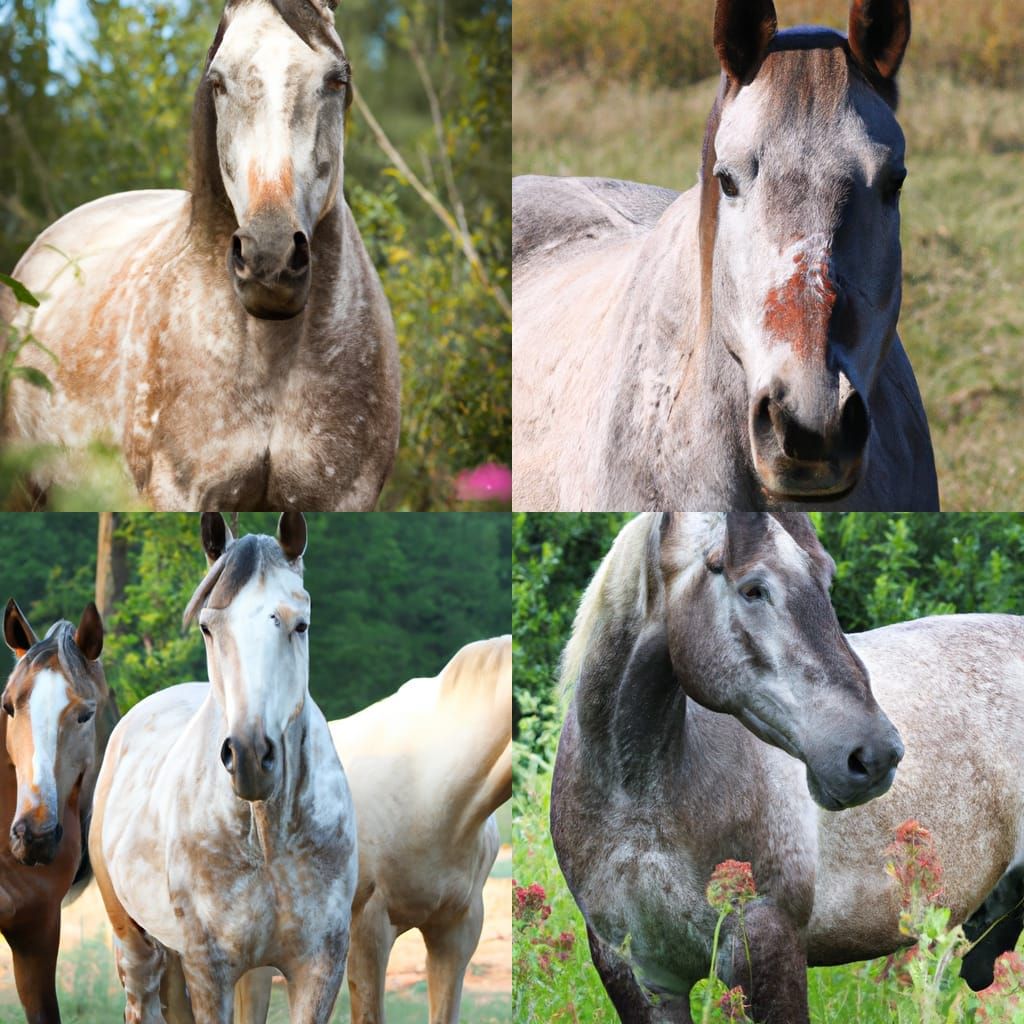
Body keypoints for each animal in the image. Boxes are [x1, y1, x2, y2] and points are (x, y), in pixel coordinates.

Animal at [89, 512, 358, 1023]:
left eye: (300, 625)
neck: (268, 841)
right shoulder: (208, 968)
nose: (251, 756)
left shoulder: (320, 965)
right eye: (208, 628)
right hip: (136, 946)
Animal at [550, 512, 1024, 1023]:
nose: (875, 755)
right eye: (754, 589)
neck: (634, 798)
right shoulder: (640, 976)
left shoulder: (768, 949)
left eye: (826, 581)